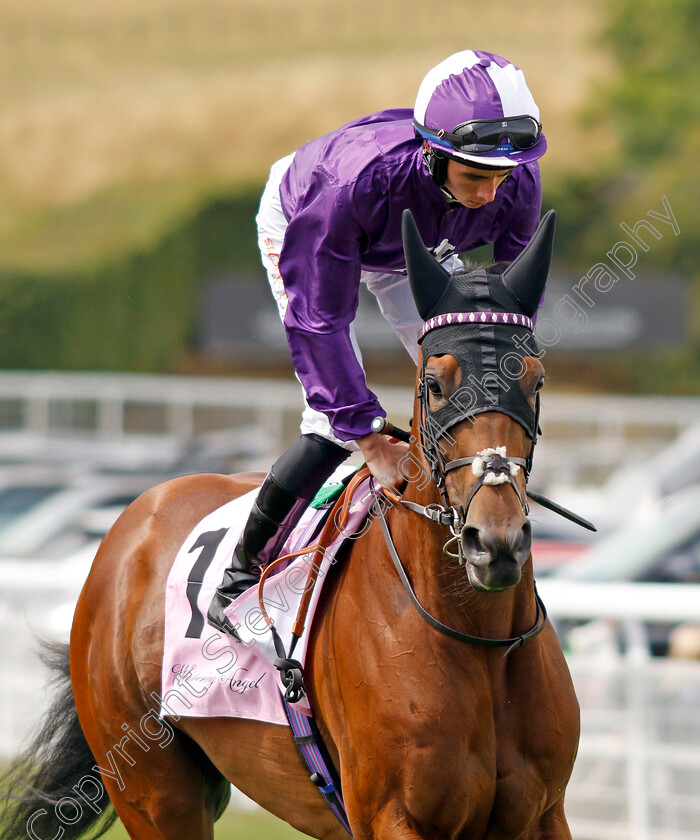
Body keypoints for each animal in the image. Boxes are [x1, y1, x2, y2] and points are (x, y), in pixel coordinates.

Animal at [0, 210, 580, 840]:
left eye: (536, 381)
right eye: (435, 385)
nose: (494, 542)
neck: (478, 640)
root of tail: (135, 517)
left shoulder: (544, 813)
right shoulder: (391, 815)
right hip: (154, 791)